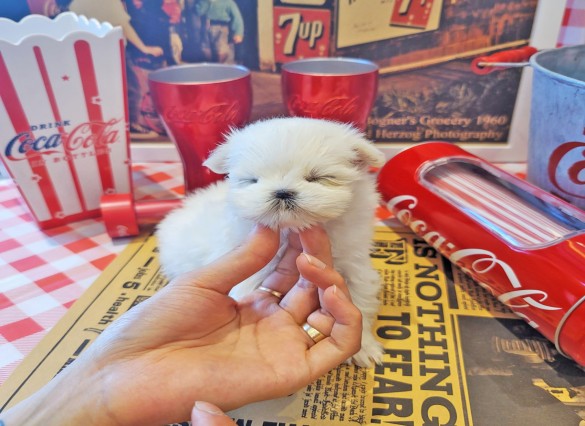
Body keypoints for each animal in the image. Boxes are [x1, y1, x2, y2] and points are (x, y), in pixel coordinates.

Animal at [156, 117, 386, 366]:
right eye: (252, 180)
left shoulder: (355, 267)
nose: (282, 192)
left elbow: (357, 303)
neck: (291, 231)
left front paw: (364, 348)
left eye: (318, 178)